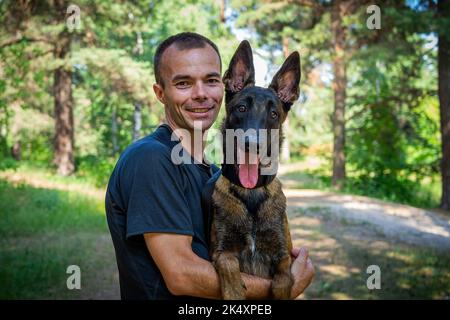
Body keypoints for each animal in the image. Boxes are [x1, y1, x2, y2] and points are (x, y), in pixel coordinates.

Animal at [204, 40, 302, 300]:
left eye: (274, 114)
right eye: (241, 108)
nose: (252, 143)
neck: (252, 192)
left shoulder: (284, 256)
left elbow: (283, 280)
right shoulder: (220, 250)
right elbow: (229, 266)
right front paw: (235, 290)